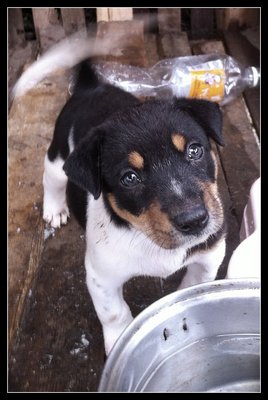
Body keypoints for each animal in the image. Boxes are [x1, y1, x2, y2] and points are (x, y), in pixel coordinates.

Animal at [16, 51, 226, 354]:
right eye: (129, 178)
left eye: (195, 150)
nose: (194, 220)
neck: (146, 236)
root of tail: (91, 87)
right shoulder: (101, 276)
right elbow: (115, 312)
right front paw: (117, 341)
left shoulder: (208, 258)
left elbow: (191, 287)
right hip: (58, 156)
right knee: (51, 178)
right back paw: (55, 210)